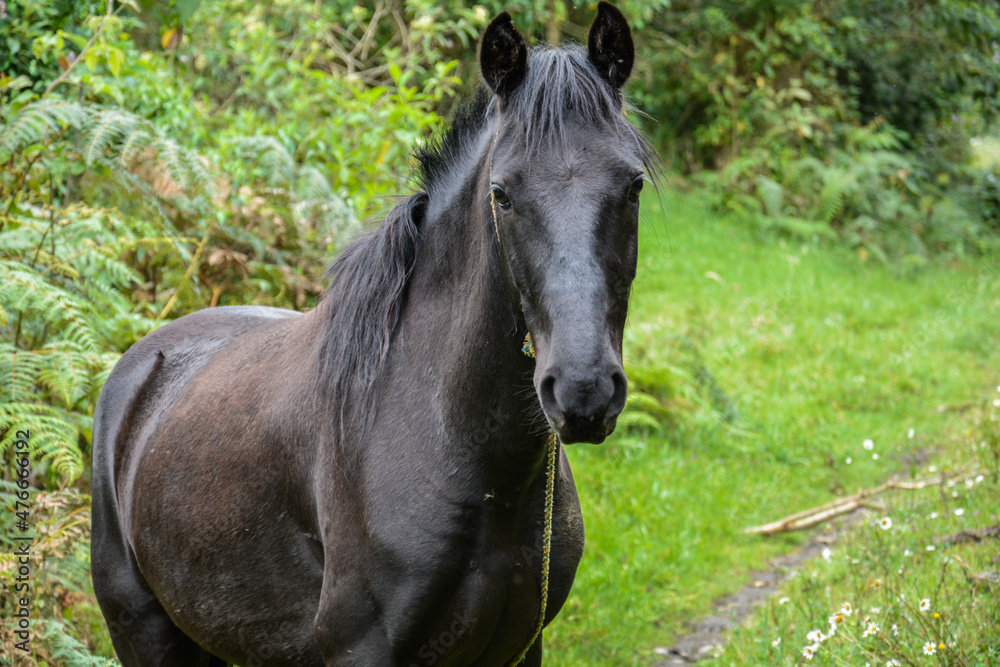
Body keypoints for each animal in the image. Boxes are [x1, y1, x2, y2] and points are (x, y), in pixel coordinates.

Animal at [91, 3, 657, 665]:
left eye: (632, 186)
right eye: (502, 194)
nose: (583, 390)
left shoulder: (520, 648)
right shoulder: (361, 647)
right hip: (144, 631)